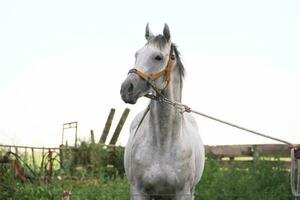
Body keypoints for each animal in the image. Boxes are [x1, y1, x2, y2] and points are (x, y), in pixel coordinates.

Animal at [120, 23, 205, 200]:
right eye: (136, 54)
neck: (163, 144)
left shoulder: (183, 193)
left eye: (158, 57)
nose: (126, 89)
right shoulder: (139, 192)